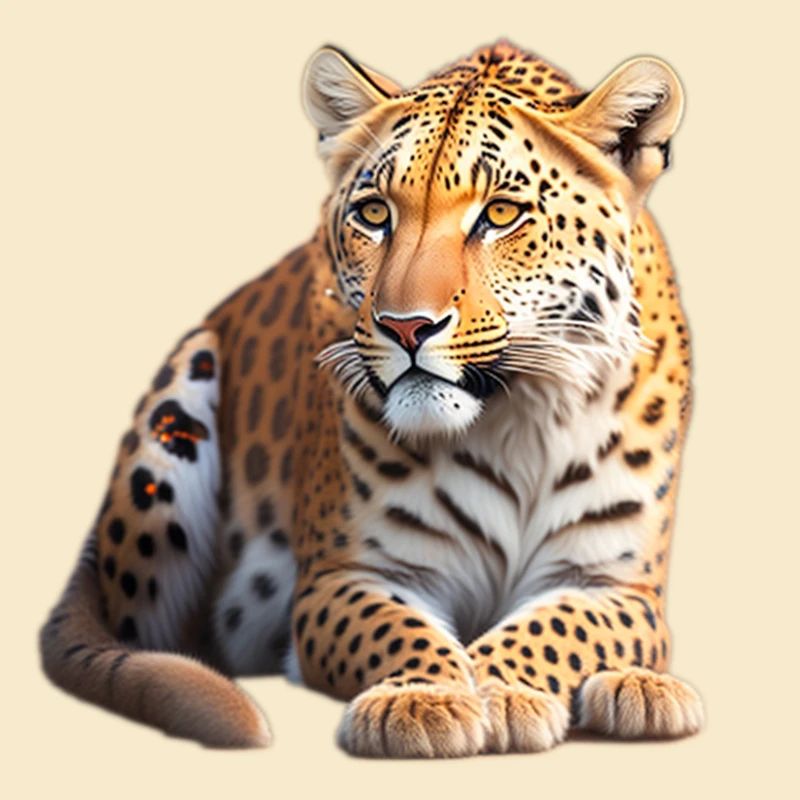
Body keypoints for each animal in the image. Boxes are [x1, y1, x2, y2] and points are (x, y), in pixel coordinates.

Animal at [40, 40, 703, 757]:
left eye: (501, 214)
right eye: (375, 213)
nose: (406, 327)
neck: (517, 419)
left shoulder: (617, 585)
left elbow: (553, 634)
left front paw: (503, 693)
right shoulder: (344, 576)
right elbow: (401, 633)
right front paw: (425, 698)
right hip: (181, 400)